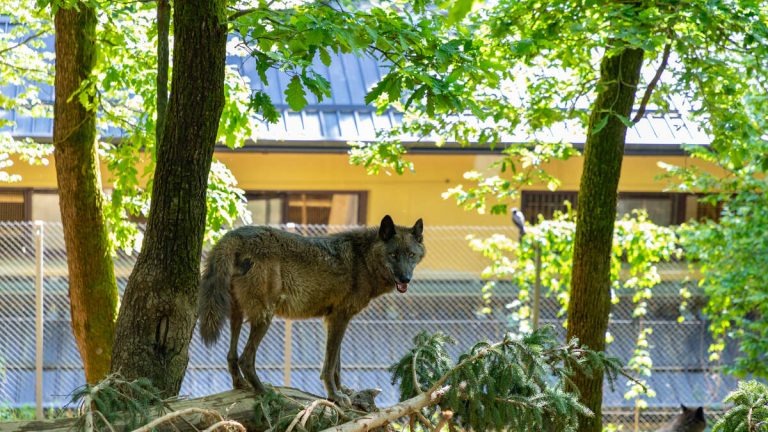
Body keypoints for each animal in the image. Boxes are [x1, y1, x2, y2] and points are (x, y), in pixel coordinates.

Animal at [197, 215, 425, 405]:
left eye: (411, 254)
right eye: (393, 254)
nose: (405, 279)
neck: (362, 260)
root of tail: (234, 235)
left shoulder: (335, 320)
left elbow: (337, 364)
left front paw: (344, 391)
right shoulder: (340, 318)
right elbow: (329, 365)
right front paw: (334, 396)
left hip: (237, 314)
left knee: (231, 355)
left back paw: (241, 385)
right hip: (265, 317)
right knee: (246, 359)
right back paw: (267, 393)